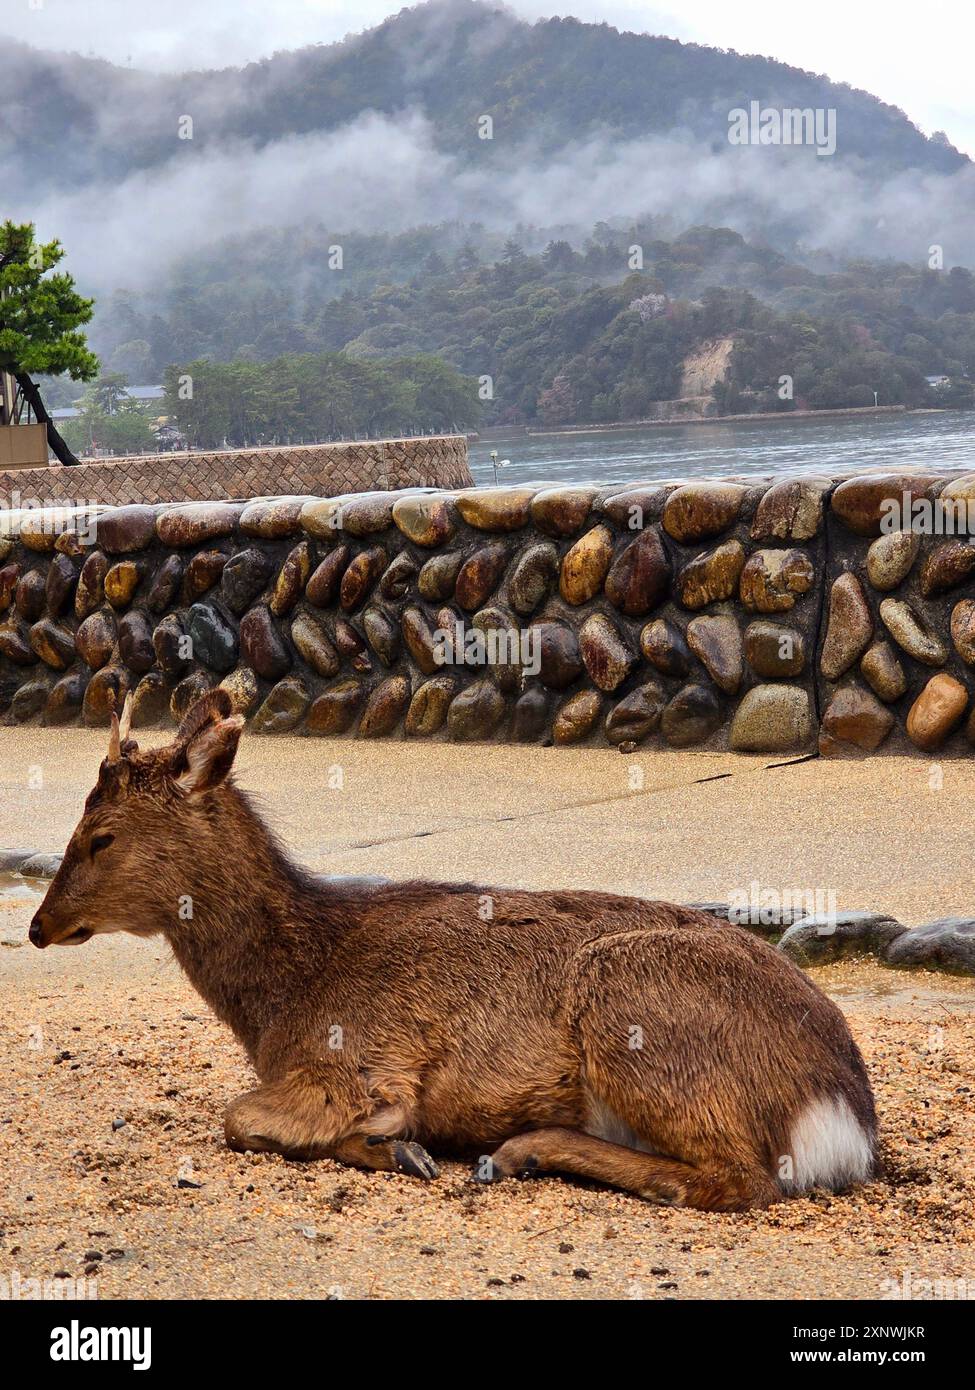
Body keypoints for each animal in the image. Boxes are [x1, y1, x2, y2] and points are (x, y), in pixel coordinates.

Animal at [28, 689, 873, 1212]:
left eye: (100, 836)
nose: (38, 926)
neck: (281, 997)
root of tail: (842, 1116)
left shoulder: (358, 1063)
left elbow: (241, 1118)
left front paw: (401, 1149)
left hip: (634, 1010)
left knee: (738, 1180)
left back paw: (513, 1149)